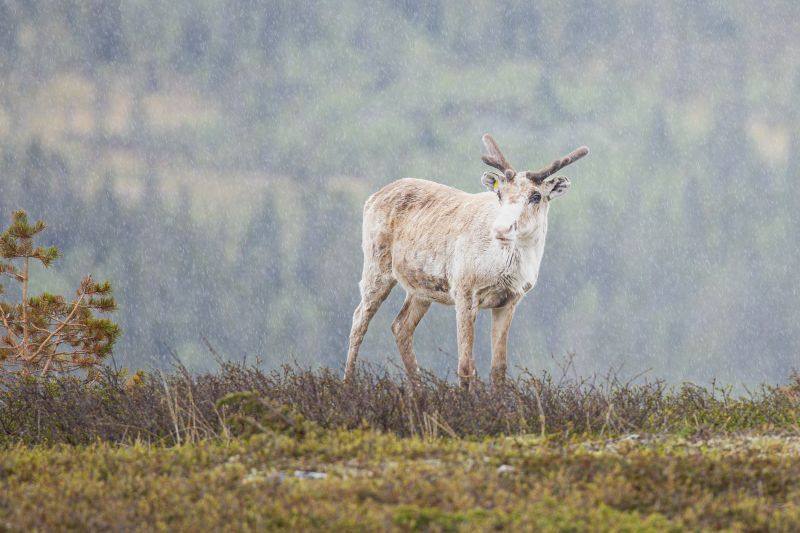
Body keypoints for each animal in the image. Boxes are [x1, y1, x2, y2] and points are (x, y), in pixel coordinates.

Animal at [343, 134, 589, 388]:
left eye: (536, 196)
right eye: (499, 194)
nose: (502, 228)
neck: (504, 268)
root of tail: (372, 198)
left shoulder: (509, 301)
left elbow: (498, 368)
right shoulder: (463, 290)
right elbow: (465, 366)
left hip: (421, 289)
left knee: (400, 326)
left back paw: (418, 391)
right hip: (376, 265)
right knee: (359, 318)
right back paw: (348, 384)